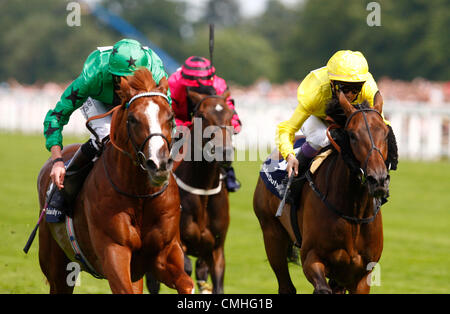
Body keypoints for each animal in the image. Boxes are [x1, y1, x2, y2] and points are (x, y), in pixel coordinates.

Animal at [36, 68, 193, 294]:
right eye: (133, 119)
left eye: (170, 117)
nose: (160, 163)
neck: (140, 194)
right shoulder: (114, 250)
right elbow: (58, 114)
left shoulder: (164, 253)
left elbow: (186, 284)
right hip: (57, 265)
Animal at [147, 89, 234, 294]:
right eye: (202, 115)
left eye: (231, 114)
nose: (225, 152)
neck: (203, 190)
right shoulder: (179, 244)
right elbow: (183, 268)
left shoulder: (216, 249)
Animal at [255, 92, 392, 294]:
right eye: (352, 135)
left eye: (385, 133)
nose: (378, 179)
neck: (354, 212)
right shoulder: (311, 258)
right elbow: (321, 287)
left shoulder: (361, 274)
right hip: (272, 233)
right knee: (286, 286)